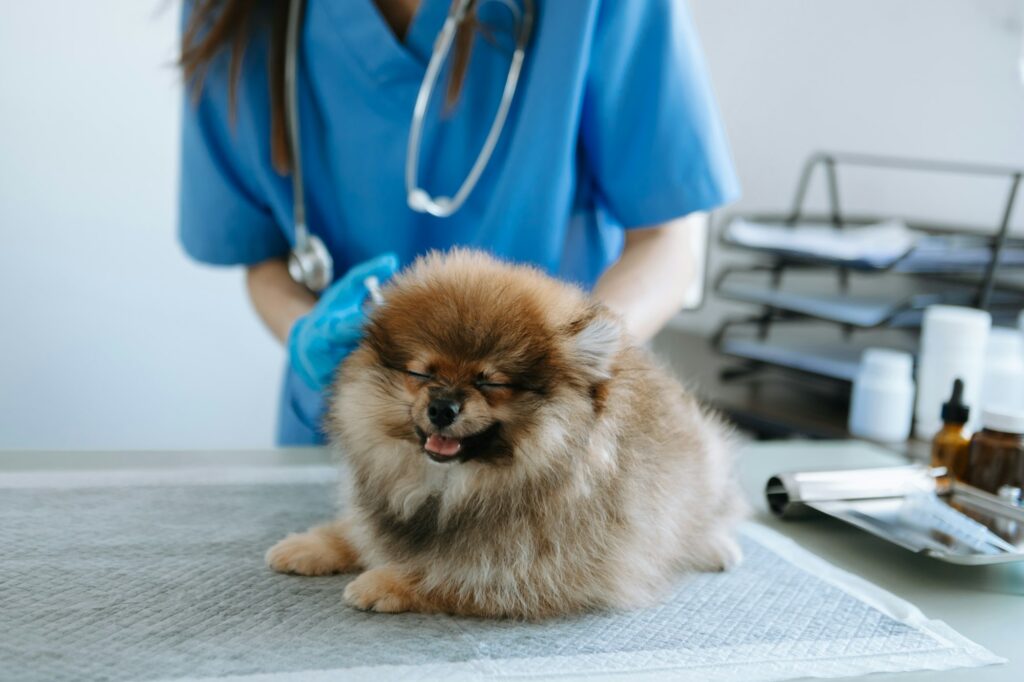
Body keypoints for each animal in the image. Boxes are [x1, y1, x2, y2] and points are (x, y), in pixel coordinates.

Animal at [266, 248, 745, 614]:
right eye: (422, 374)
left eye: (490, 383)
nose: (442, 407)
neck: (452, 486)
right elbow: (357, 529)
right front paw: (312, 545)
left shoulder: (556, 569)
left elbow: (459, 577)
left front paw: (386, 582)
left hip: (710, 466)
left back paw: (716, 547)